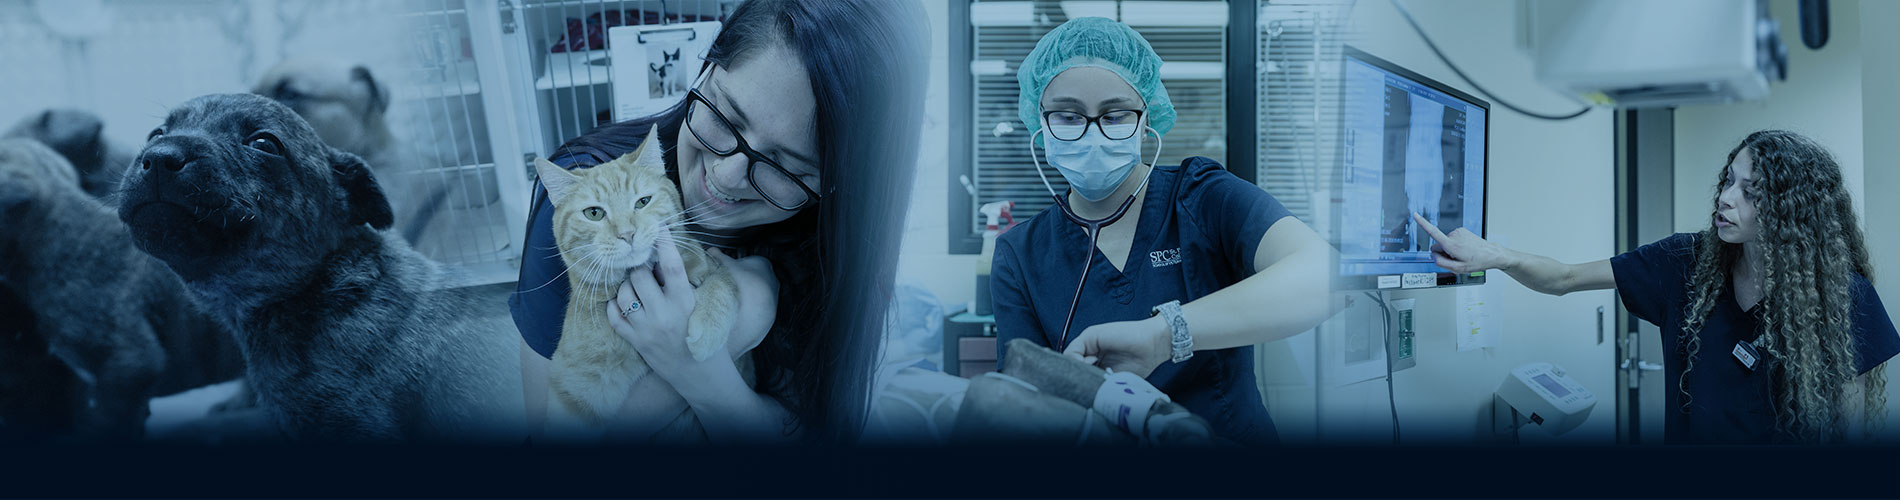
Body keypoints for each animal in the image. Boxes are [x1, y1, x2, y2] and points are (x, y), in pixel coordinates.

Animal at [539, 127, 744, 437]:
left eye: (643, 202)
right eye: (594, 213)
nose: (627, 234)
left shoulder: (714, 267)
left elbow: (721, 286)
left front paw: (708, 332)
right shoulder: (571, 388)